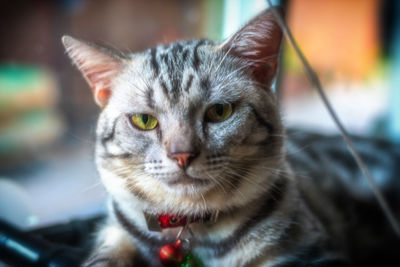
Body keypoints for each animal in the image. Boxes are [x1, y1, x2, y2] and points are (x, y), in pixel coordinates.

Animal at [61, 8, 400, 267]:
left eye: (219, 112)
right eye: (144, 120)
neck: (193, 230)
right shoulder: (115, 231)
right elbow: (104, 256)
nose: (181, 154)